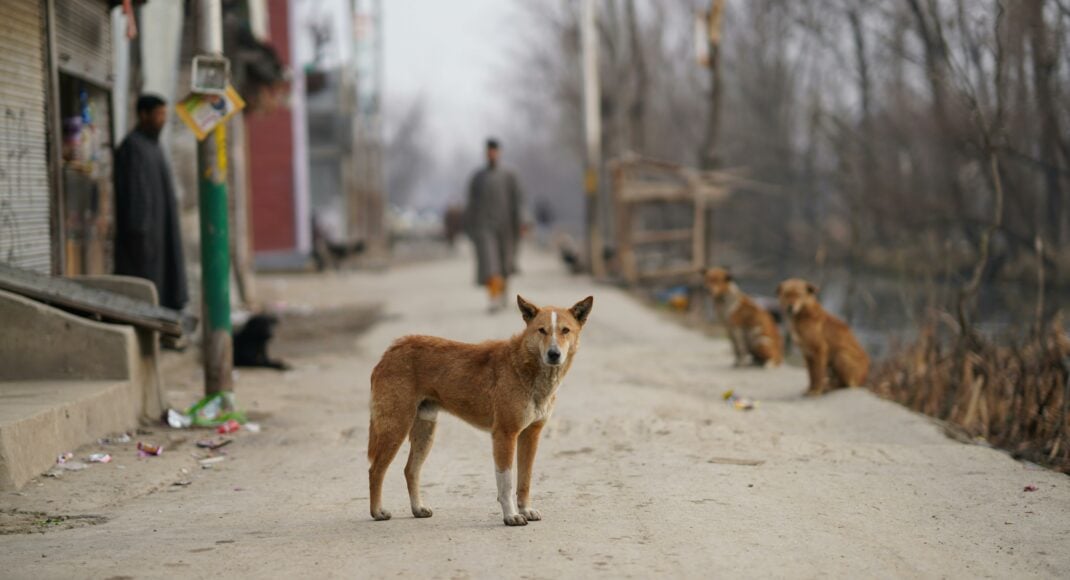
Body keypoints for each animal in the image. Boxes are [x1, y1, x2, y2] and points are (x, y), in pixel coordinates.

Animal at [363, 295, 590, 526]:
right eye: (541, 330)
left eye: (565, 330)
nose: (554, 354)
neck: (526, 367)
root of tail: (390, 351)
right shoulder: (505, 434)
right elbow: (506, 483)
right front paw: (511, 516)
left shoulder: (531, 434)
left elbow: (524, 480)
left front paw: (525, 510)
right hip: (395, 427)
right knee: (375, 470)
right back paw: (377, 511)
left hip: (425, 432)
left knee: (410, 470)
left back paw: (418, 508)